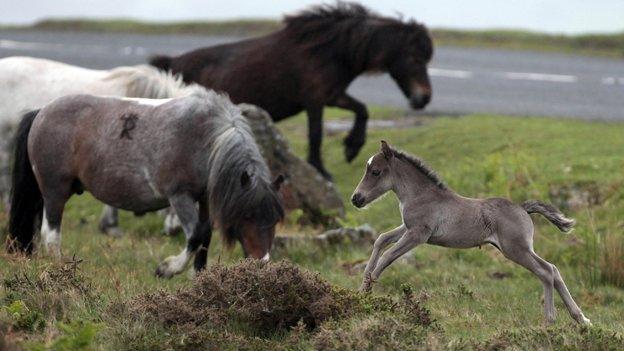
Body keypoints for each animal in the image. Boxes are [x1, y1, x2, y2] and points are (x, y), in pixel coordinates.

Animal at [7, 90, 282, 278]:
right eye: (247, 215)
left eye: (275, 220)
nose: (263, 262)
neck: (206, 139)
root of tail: (41, 112)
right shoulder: (179, 197)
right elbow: (196, 235)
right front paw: (167, 268)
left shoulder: (204, 199)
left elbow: (205, 237)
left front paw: (199, 280)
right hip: (55, 191)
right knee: (51, 234)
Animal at [150, 1, 434, 179]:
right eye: (415, 58)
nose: (424, 98)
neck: (327, 50)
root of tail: (171, 65)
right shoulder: (315, 101)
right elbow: (316, 134)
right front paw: (321, 170)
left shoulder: (332, 95)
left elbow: (361, 110)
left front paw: (351, 147)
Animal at [354, 141, 592, 328]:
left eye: (375, 172)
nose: (356, 199)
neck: (420, 194)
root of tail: (523, 208)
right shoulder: (407, 227)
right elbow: (381, 239)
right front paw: (362, 288)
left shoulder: (418, 234)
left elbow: (388, 255)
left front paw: (368, 291)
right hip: (520, 249)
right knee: (554, 269)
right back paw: (582, 319)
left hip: (516, 249)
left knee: (546, 271)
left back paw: (550, 320)